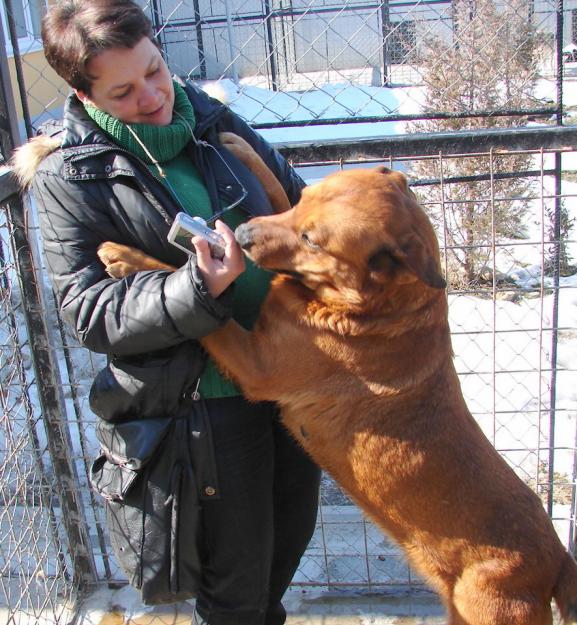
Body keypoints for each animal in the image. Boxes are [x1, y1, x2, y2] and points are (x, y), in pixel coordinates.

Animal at [98, 156, 576, 624]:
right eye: (304, 200)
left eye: (311, 240)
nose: (243, 235)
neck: (371, 304)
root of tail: (558, 559)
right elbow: (274, 185)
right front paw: (241, 147)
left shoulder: (254, 364)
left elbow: (206, 311)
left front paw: (130, 258)